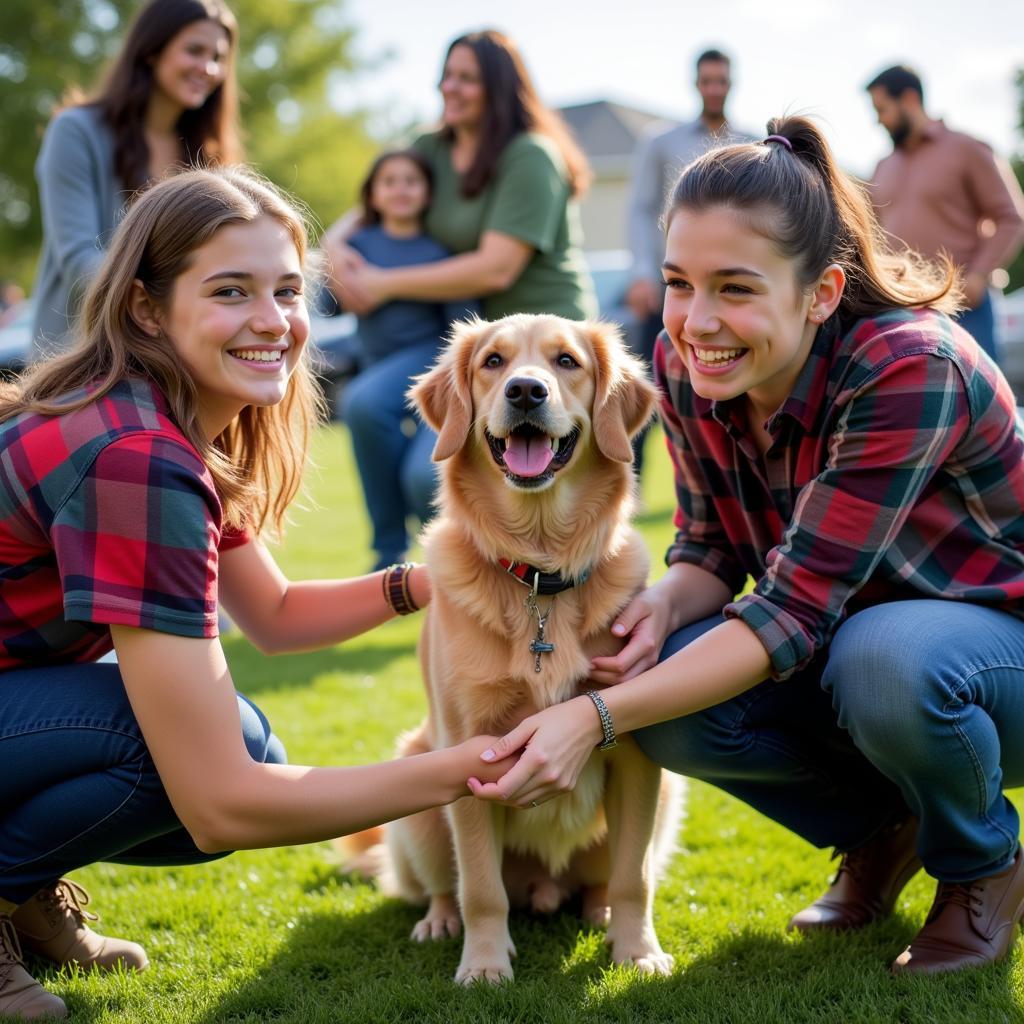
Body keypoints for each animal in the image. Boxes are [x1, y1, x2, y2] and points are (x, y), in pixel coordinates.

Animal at [380, 313, 684, 983]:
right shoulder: (468, 752)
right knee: (446, 886)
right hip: (416, 789)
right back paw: (440, 921)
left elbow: (635, 877)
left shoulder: (636, 754)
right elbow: (481, 888)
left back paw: (596, 909)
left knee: (602, 881)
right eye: (492, 362)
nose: (525, 390)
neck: (540, 572)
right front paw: (485, 965)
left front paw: (637, 951)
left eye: (566, 361)